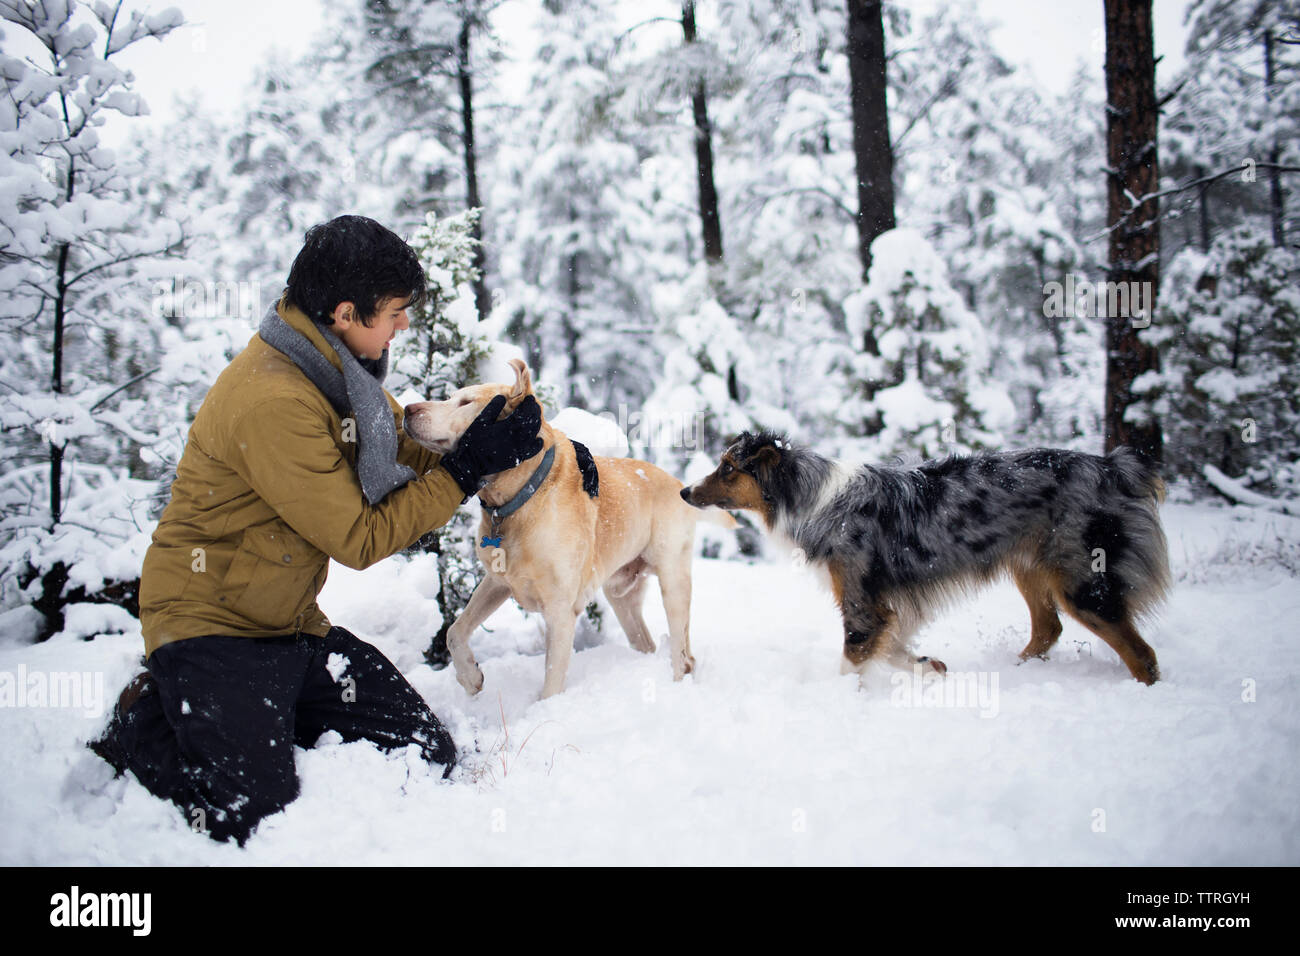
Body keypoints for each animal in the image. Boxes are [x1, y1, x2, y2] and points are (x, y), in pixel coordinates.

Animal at [400, 361, 738, 697]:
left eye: (466, 402)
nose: (407, 408)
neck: (521, 500)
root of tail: (678, 484)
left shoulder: (560, 613)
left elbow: (551, 684)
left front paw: (543, 709)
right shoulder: (497, 583)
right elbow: (455, 631)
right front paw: (470, 677)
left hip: (673, 584)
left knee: (683, 656)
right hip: (621, 595)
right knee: (647, 643)